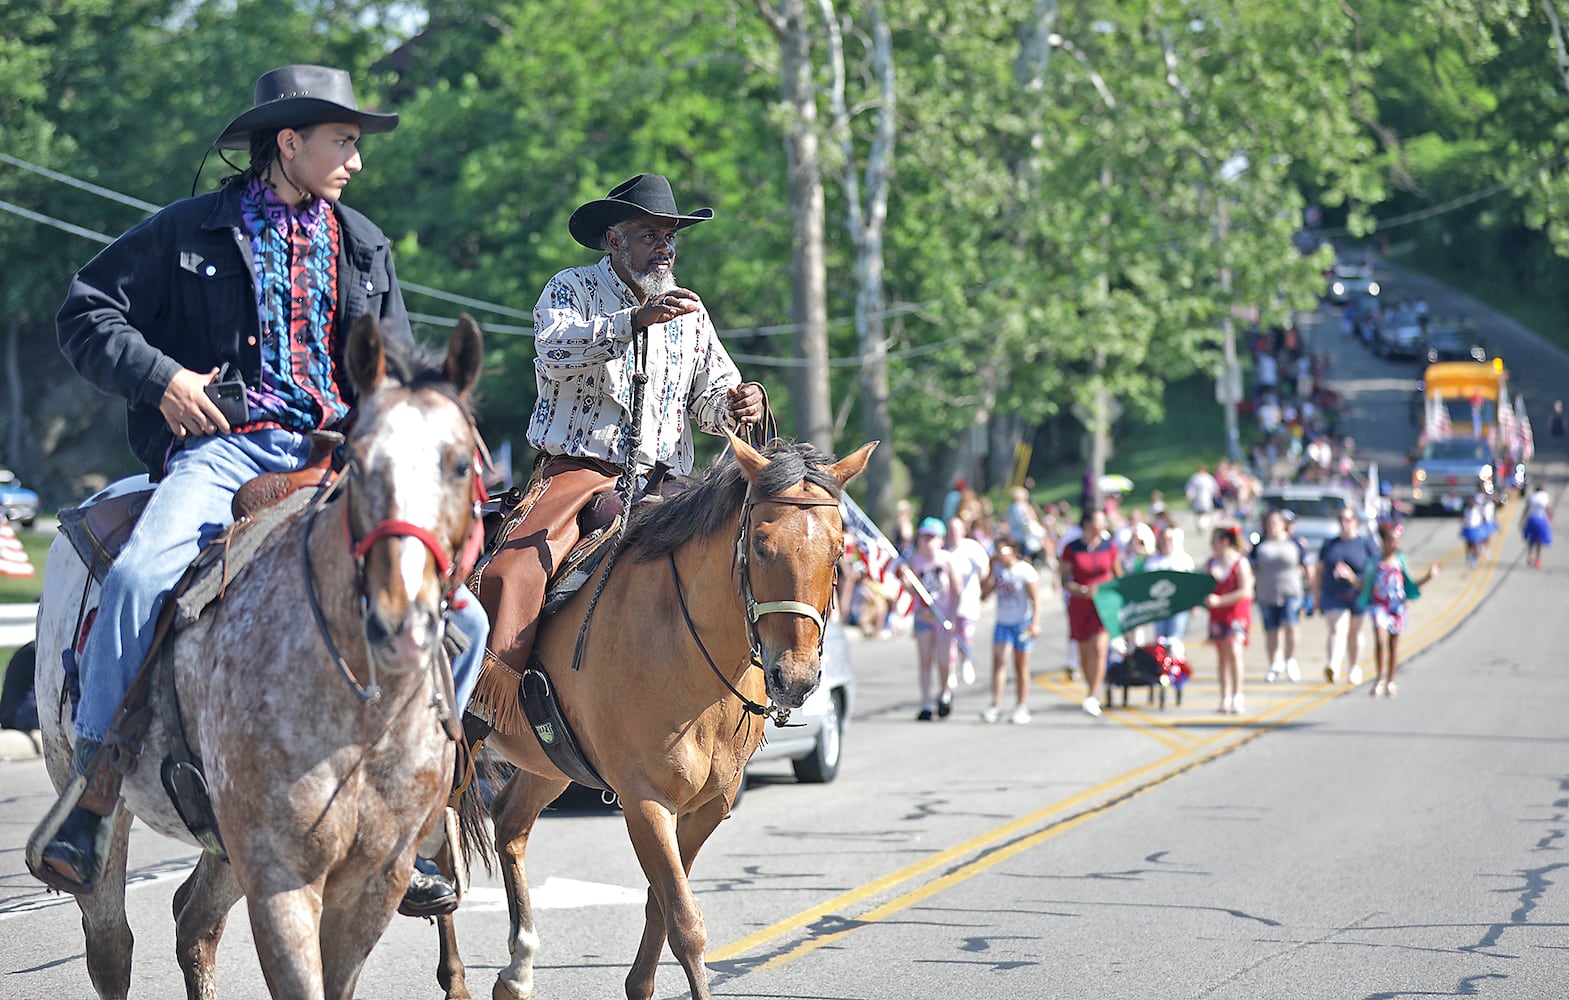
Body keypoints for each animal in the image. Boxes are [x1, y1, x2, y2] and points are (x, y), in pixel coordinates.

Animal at [30, 313, 483, 998]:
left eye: (460, 465)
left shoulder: (374, 886)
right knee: (110, 945)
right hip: (85, 795)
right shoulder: (280, 879)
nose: (400, 620)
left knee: (193, 923)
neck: (358, 710)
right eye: (360, 463)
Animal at [436, 436, 878, 998]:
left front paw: (638, 983)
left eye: (839, 550)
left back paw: (517, 971)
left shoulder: (710, 803)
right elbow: (685, 922)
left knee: (509, 823)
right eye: (760, 544)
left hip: (549, 763)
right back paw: (454, 974)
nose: (795, 678)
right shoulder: (644, 800)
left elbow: (661, 903)